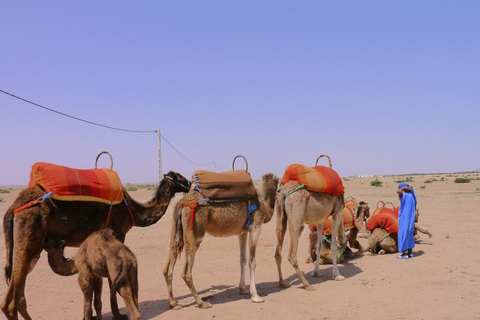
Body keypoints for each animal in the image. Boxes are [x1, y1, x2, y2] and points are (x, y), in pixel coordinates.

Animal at [2, 170, 189, 320]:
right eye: (179, 176)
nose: (189, 184)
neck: (133, 209)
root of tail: (13, 208)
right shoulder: (118, 234)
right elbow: (111, 280)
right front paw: (117, 314)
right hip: (29, 238)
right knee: (11, 302)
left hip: (29, 248)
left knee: (15, 298)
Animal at [164, 172, 280, 310]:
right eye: (279, 181)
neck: (265, 206)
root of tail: (181, 203)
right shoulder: (255, 227)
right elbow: (252, 261)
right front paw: (256, 296)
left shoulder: (242, 232)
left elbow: (242, 259)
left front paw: (243, 289)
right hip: (195, 233)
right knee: (186, 272)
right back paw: (201, 302)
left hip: (176, 232)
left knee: (169, 264)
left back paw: (174, 303)